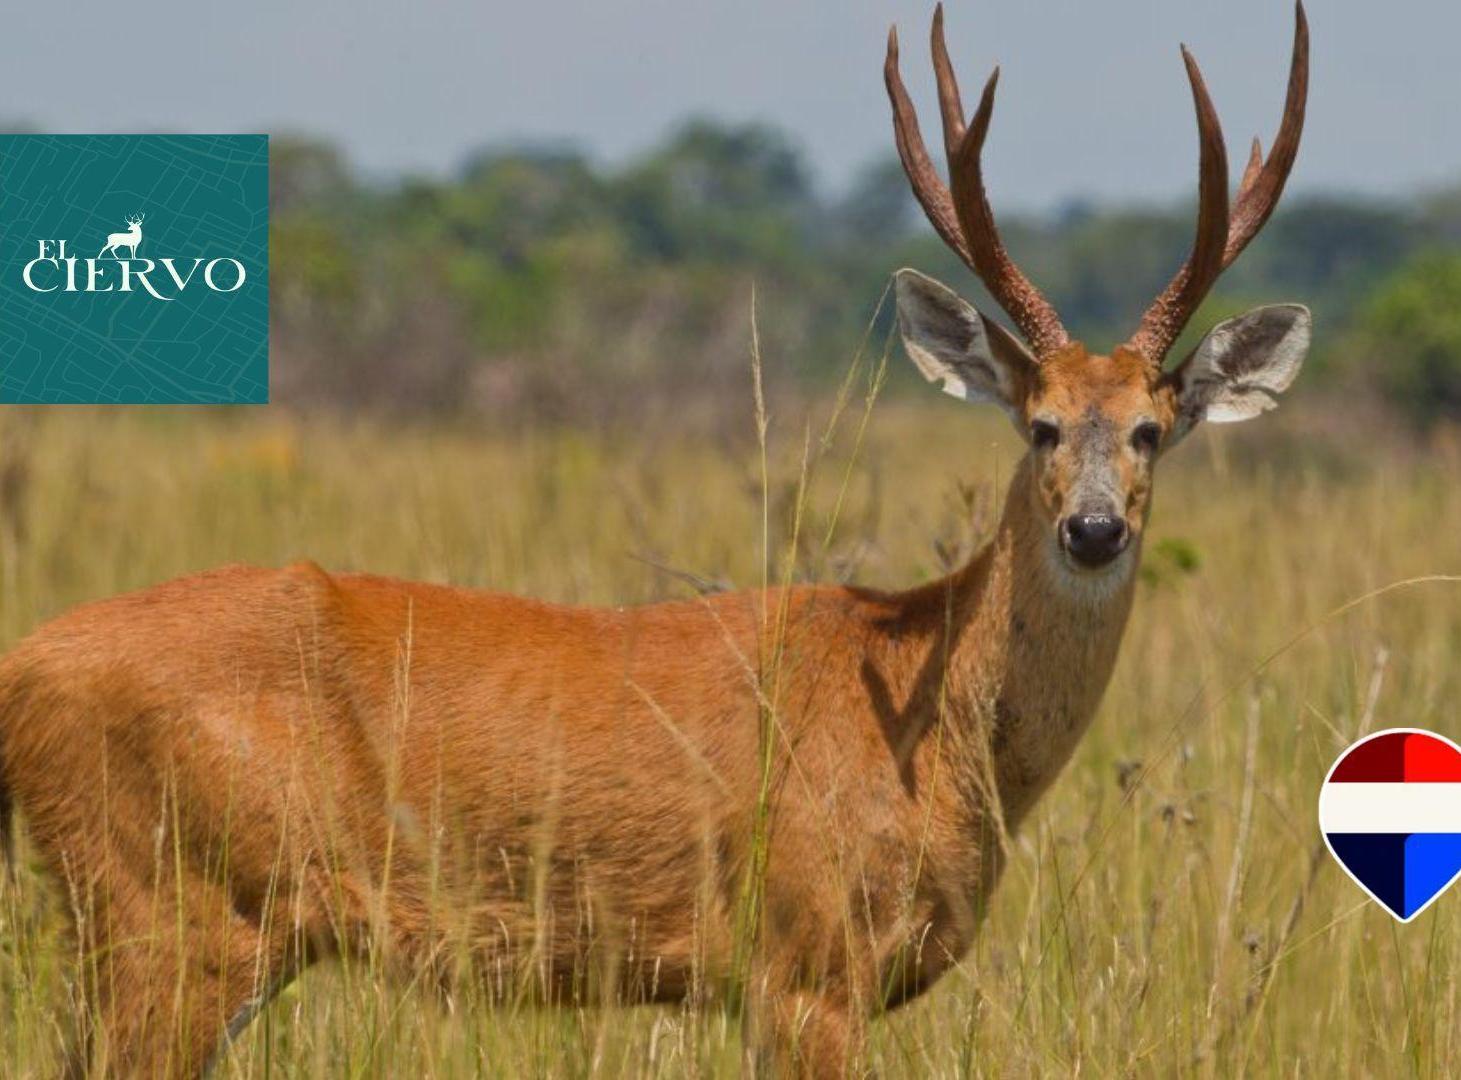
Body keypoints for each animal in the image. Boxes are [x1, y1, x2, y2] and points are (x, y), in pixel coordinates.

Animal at [0, 4, 1309, 1076]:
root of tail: (24, 670)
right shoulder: (804, 965)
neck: (932, 720)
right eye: (1039, 425)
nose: (1093, 529)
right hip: (168, 913)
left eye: (1152, 431)